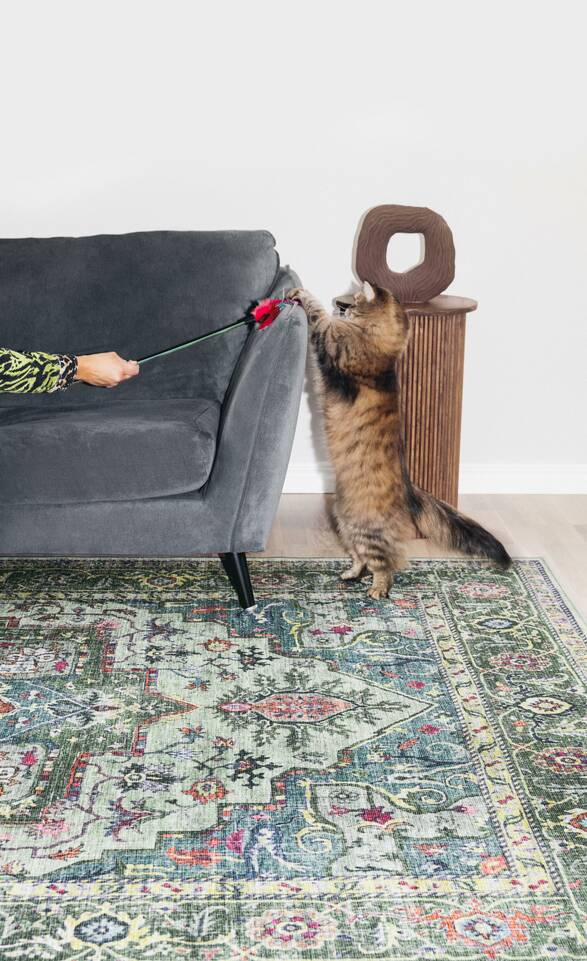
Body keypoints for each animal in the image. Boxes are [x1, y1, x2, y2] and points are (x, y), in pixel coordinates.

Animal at [288, 278, 510, 596]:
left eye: (354, 300)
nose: (341, 307)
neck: (386, 351)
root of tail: (409, 489)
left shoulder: (331, 339)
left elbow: (318, 314)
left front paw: (301, 291)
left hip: (367, 529)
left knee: (385, 564)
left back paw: (378, 591)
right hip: (345, 523)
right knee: (361, 558)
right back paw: (350, 575)